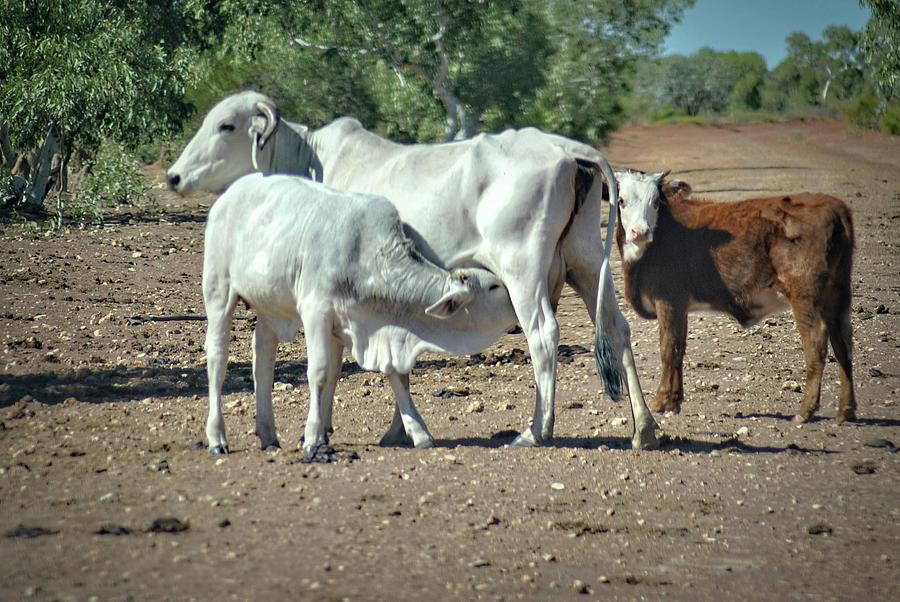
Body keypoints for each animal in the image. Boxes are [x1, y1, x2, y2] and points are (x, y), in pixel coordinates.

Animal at [204, 172, 518, 458]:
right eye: (493, 286)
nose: (519, 310)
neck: (367, 255)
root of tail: (233, 190)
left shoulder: (360, 324)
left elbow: (389, 375)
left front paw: (419, 433)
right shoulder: (316, 311)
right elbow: (319, 373)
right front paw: (312, 439)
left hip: (269, 305)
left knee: (263, 361)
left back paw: (268, 435)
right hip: (219, 291)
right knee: (217, 360)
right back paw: (217, 438)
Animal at [614, 170, 856, 423]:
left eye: (655, 202)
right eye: (621, 201)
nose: (640, 232)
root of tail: (832, 205)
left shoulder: (668, 300)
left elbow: (668, 348)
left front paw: (661, 401)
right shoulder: (680, 305)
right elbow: (680, 348)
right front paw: (674, 401)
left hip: (805, 294)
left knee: (817, 341)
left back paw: (805, 411)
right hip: (836, 292)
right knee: (843, 341)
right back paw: (846, 409)